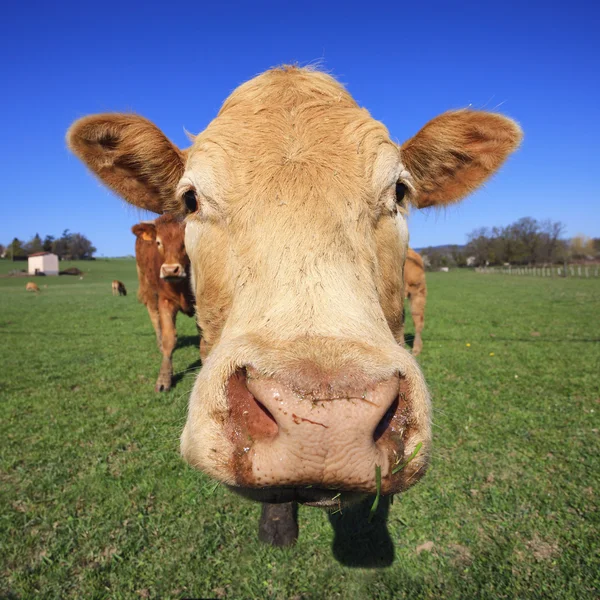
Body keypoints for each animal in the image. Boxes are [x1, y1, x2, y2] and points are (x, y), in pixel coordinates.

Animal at [132, 213, 196, 392]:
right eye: (158, 242)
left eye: (186, 240)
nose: (170, 270)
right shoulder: (166, 300)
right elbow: (169, 338)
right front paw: (164, 379)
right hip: (148, 286)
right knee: (154, 315)